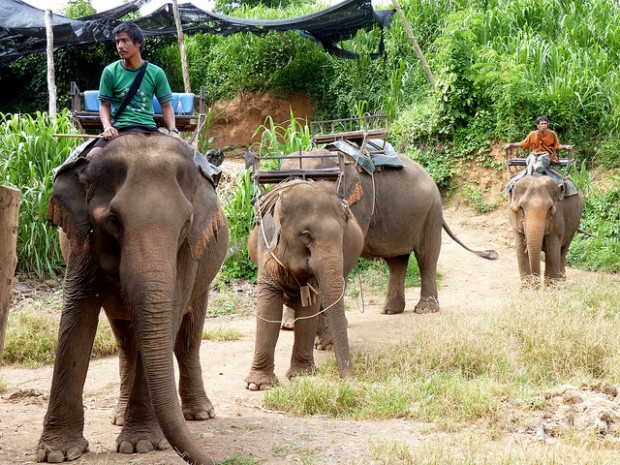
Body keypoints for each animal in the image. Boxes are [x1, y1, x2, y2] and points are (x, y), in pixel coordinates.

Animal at [37, 132, 229, 464]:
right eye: (114, 220)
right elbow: (76, 316)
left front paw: (140, 445)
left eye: (186, 223)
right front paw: (57, 452)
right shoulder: (81, 240)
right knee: (126, 339)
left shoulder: (188, 253)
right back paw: (118, 416)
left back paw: (199, 414)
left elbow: (170, 314)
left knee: (188, 336)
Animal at [245, 179, 366, 390]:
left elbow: (310, 306)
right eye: (306, 235)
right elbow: (269, 306)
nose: (351, 382)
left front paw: (302, 376)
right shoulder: (267, 248)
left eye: (342, 236)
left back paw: (326, 344)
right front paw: (258, 385)